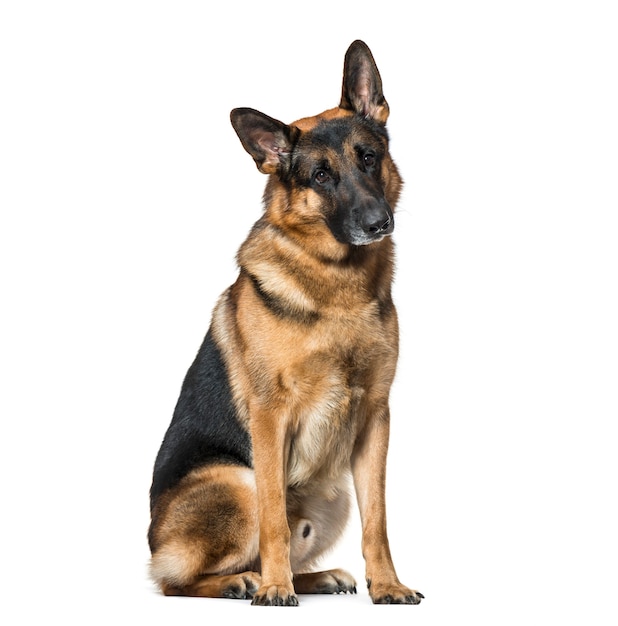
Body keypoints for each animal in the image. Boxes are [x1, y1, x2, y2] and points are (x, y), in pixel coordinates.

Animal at [147, 40, 422, 604]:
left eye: (368, 158)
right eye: (320, 176)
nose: (377, 223)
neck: (338, 287)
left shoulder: (375, 418)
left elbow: (378, 519)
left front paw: (387, 585)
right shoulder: (270, 418)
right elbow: (274, 515)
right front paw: (275, 590)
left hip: (334, 496)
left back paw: (314, 577)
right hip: (237, 480)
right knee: (174, 581)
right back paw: (245, 581)